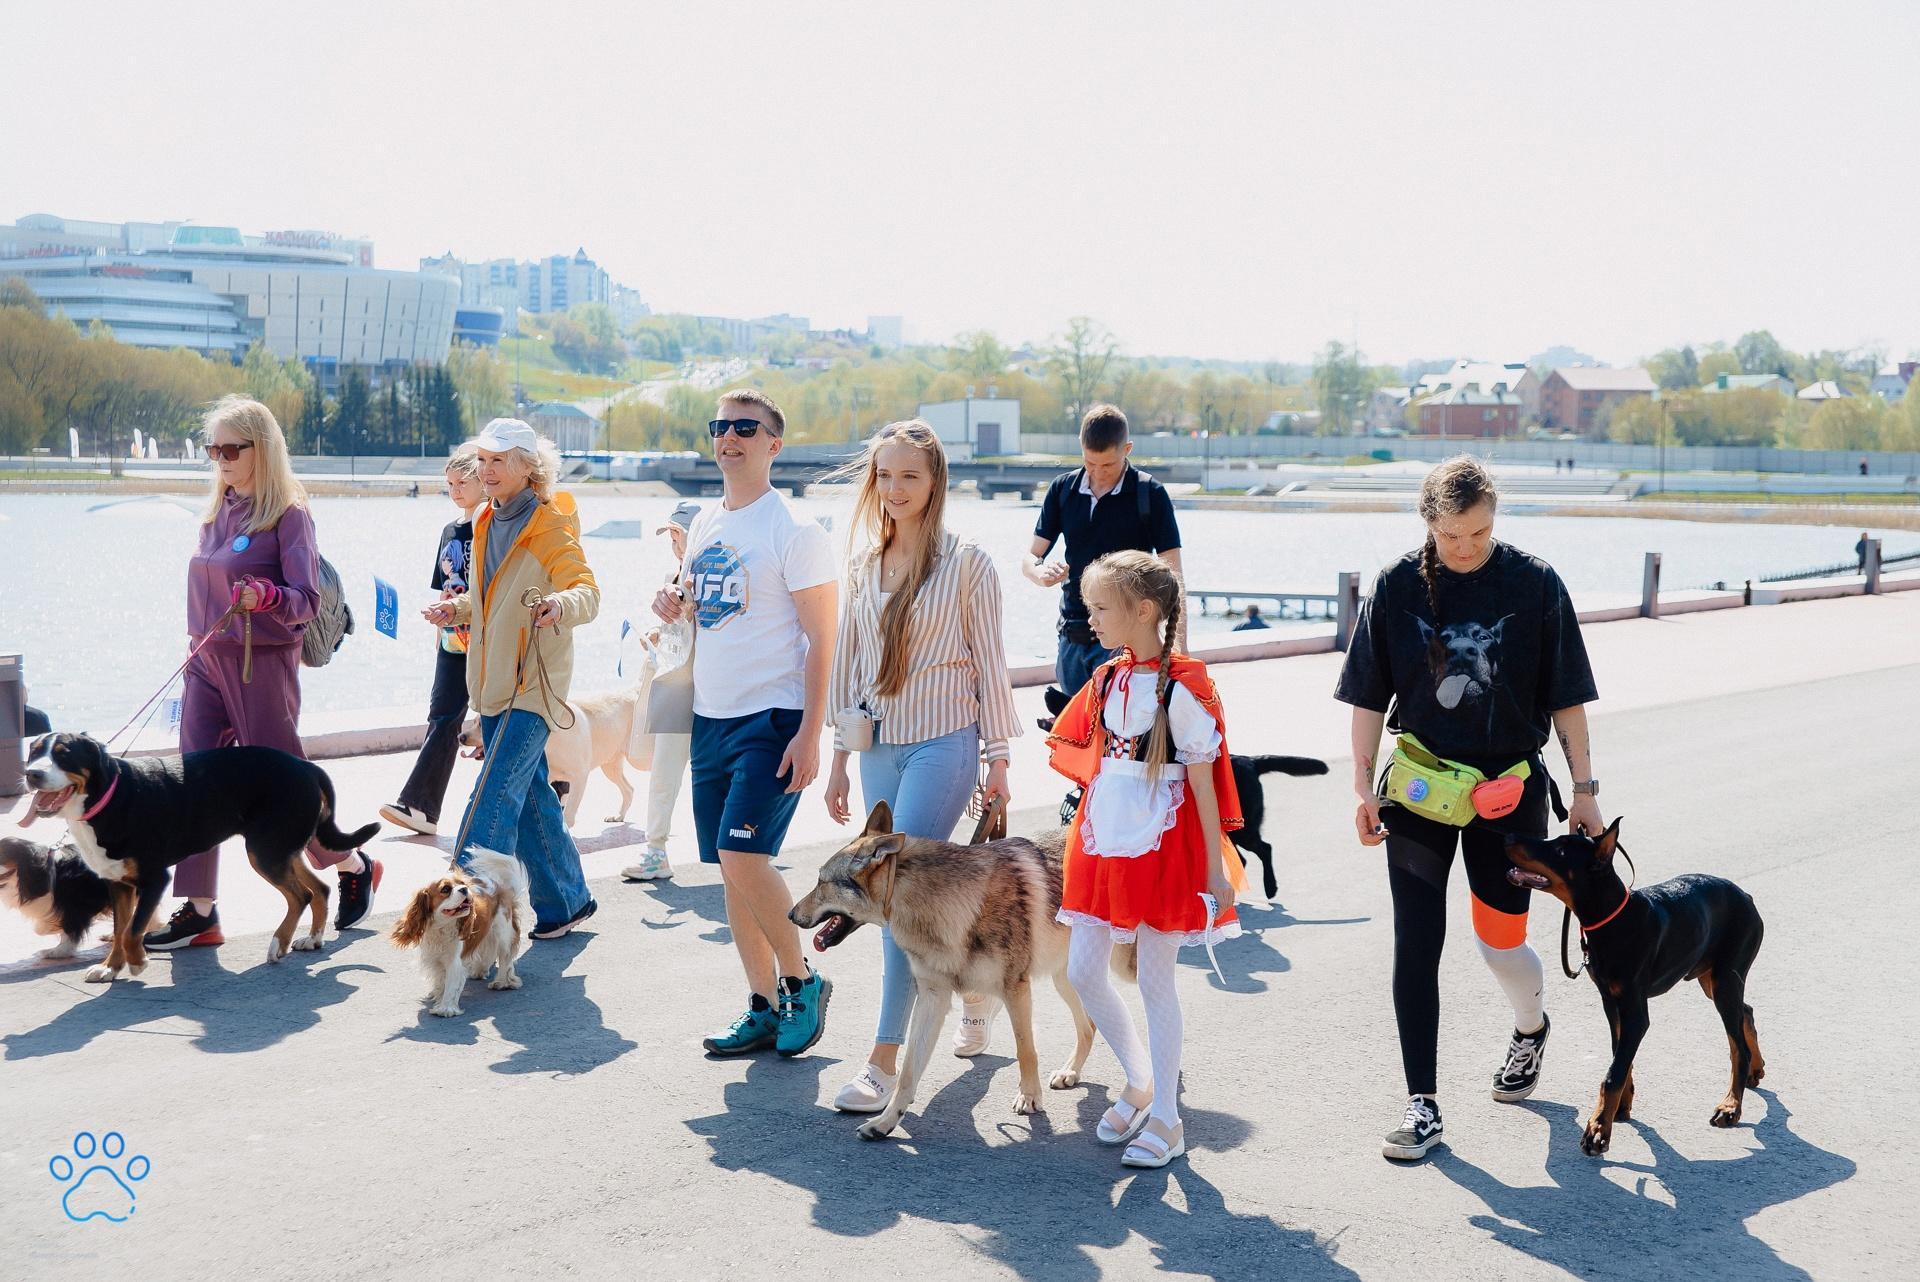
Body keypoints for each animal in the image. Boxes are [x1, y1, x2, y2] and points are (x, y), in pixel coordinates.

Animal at [23, 729, 378, 982]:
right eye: (35, 752)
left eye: (63, 755)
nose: (31, 774)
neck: (110, 796)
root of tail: (305, 765)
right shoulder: (118, 883)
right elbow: (121, 929)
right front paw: (110, 968)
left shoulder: (154, 878)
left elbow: (133, 930)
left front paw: (137, 963)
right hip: (280, 849)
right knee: (319, 889)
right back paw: (312, 938)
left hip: (265, 852)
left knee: (300, 895)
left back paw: (279, 943)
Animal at [787, 802, 1128, 1143]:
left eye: (821, 882)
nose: (790, 915)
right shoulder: (932, 999)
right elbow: (908, 1071)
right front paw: (885, 1123)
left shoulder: (1015, 989)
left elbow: (1025, 1050)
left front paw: (1030, 1098)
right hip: (1069, 979)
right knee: (1090, 1026)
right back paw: (1071, 1073)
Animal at [1505, 821, 1758, 1159]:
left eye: (1558, 849)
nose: (1508, 836)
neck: (1611, 919)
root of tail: (1746, 896)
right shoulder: (1610, 1003)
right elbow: (1620, 1057)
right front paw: (1619, 1108)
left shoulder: (1635, 1012)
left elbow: (1613, 1073)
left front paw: (1598, 1128)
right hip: (1712, 977)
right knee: (1747, 1011)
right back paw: (1756, 1070)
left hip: (1725, 979)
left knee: (1737, 1046)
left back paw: (1731, 1106)